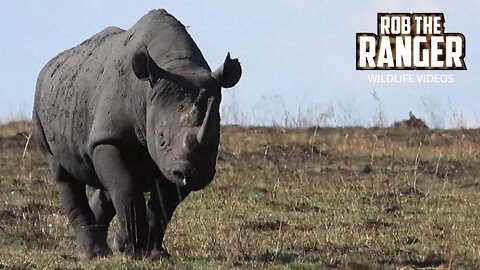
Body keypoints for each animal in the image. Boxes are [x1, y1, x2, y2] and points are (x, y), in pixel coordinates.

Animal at [32, 8, 242, 260]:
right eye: (161, 138)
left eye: (216, 137)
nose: (193, 174)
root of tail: (48, 66)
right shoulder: (108, 139)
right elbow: (126, 187)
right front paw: (131, 250)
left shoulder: (172, 162)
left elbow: (162, 204)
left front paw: (153, 254)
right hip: (41, 106)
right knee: (64, 175)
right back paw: (91, 254)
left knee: (106, 187)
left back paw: (105, 249)